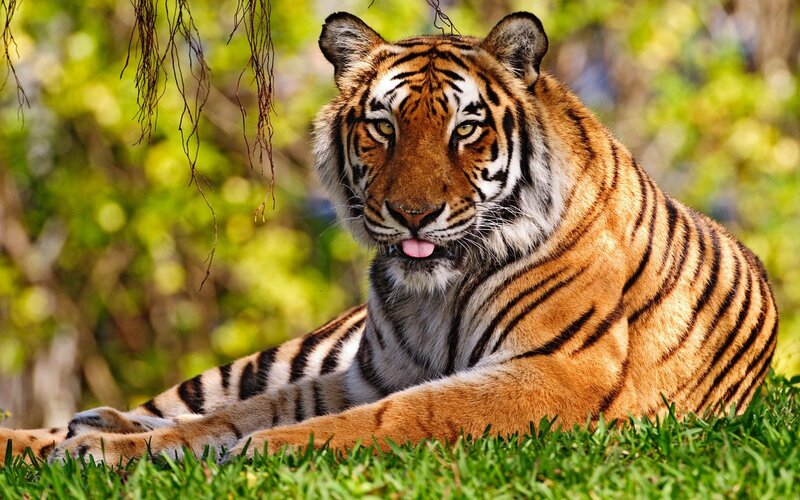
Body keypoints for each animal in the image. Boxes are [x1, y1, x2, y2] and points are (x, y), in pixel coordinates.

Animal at [0, 11, 777, 465]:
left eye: (466, 128)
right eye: (383, 126)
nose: (413, 214)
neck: (434, 294)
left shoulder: (555, 372)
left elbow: (400, 415)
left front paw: (260, 450)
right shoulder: (363, 373)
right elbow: (233, 415)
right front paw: (107, 449)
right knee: (173, 403)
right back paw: (71, 431)